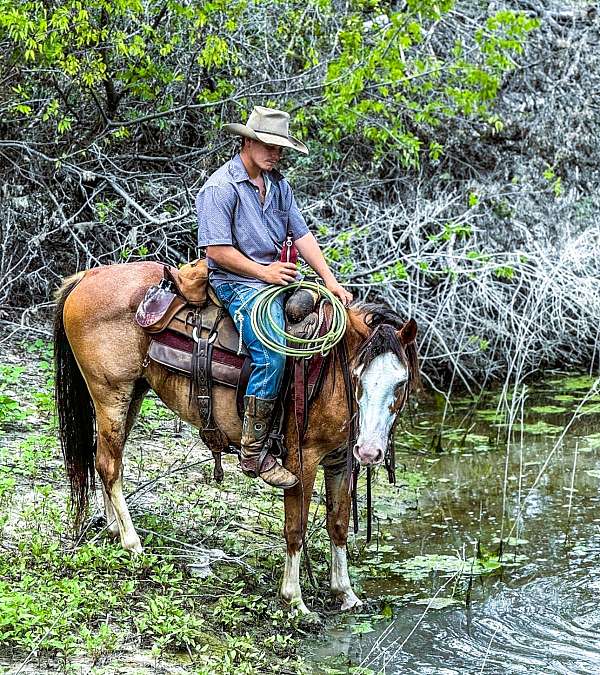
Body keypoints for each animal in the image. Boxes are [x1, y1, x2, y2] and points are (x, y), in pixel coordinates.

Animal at [54, 262, 418, 616]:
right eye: (358, 377)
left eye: (401, 382)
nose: (369, 452)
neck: (331, 369)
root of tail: (88, 276)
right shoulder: (303, 458)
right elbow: (295, 529)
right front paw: (295, 601)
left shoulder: (340, 458)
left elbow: (338, 523)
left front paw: (345, 593)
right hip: (110, 394)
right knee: (109, 465)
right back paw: (132, 543)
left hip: (133, 393)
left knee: (104, 461)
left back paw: (114, 529)